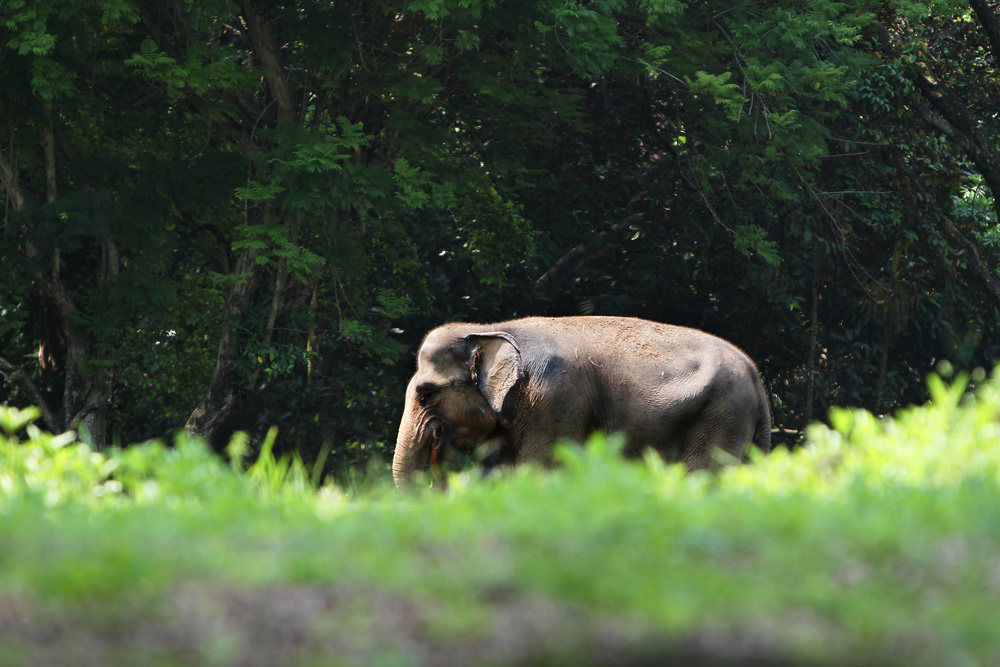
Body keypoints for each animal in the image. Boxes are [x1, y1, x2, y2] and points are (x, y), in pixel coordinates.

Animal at [392, 316, 771, 487]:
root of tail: (756, 375)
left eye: (426, 394)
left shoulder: (554, 400)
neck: (490, 328)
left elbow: (541, 469)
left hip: (723, 413)